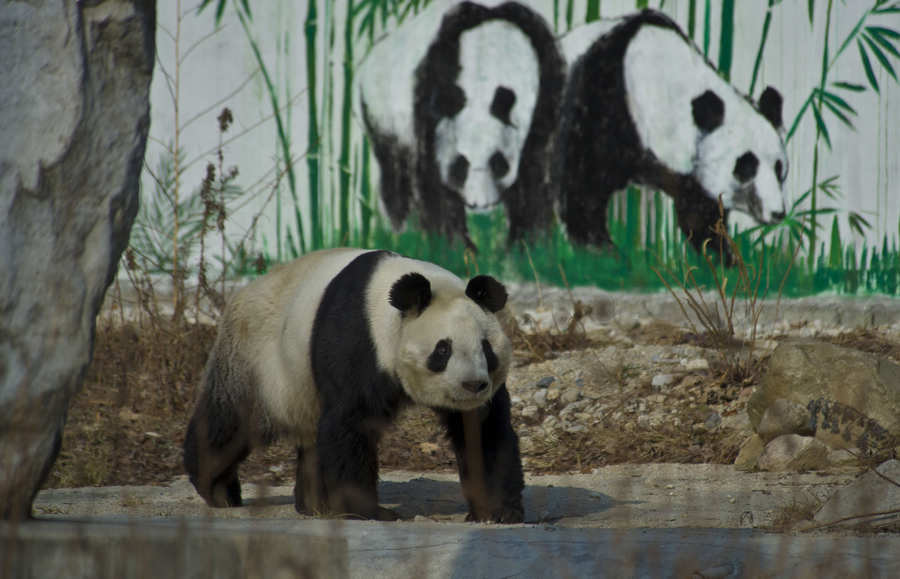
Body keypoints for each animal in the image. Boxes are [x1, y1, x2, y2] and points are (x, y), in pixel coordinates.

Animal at [183, 247, 520, 524]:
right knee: (231, 421)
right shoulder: (357, 339)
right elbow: (350, 423)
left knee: (310, 441)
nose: (473, 384)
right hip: (256, 359)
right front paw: (369, 511)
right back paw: (218, 490)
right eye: (443, 349)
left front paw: (495, 511)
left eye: (486, 349)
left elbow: (481, 431)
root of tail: (242, 293)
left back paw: (314, 504)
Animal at [356, 0, 564, 249]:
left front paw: (528, 244)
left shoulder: (546, 86)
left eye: (498, 163)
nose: (479, 205)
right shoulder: (429, 87)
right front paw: (454, 247)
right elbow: (431, 178)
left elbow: (533, 172)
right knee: (395, 175)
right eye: (460, 165)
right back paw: (401, 232)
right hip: (382, 116)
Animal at [556, 10, 788, 260]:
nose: (777, 213)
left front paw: (722, 257)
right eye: (746, 166)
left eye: (779, 168)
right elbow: (584, 180)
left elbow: (700, 215)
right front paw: (601, 250)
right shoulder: (602, 103)